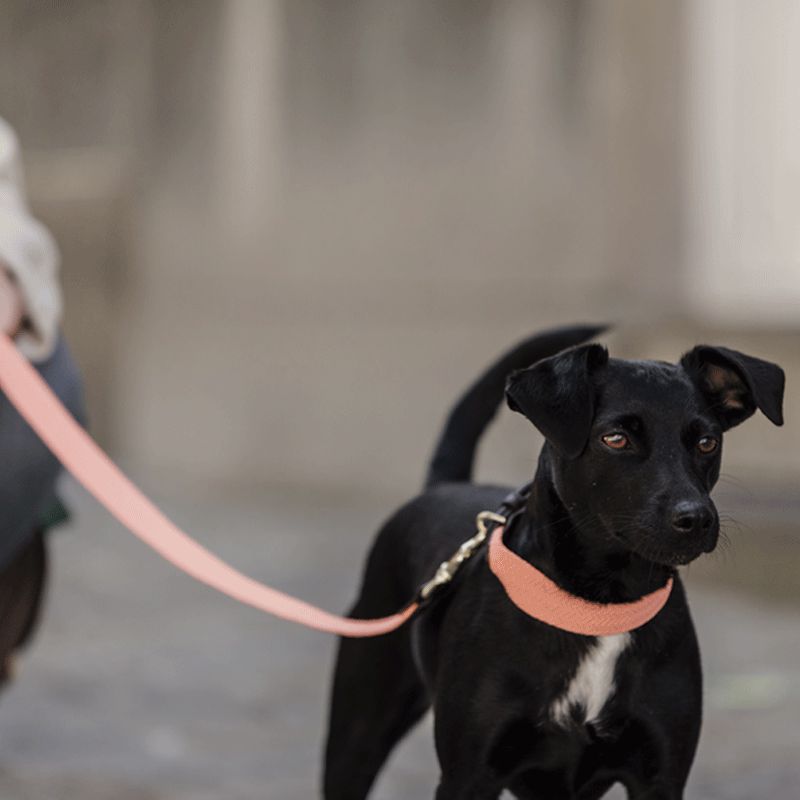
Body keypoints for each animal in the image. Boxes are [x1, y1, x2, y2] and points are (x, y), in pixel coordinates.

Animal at [322, 322, 784, 796]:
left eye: (707, 442)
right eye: (615, 438)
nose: (696, 518)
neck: (601, 605)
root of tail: (442, 487)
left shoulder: (660, 777)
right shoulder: (468, 777)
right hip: (356, 735)